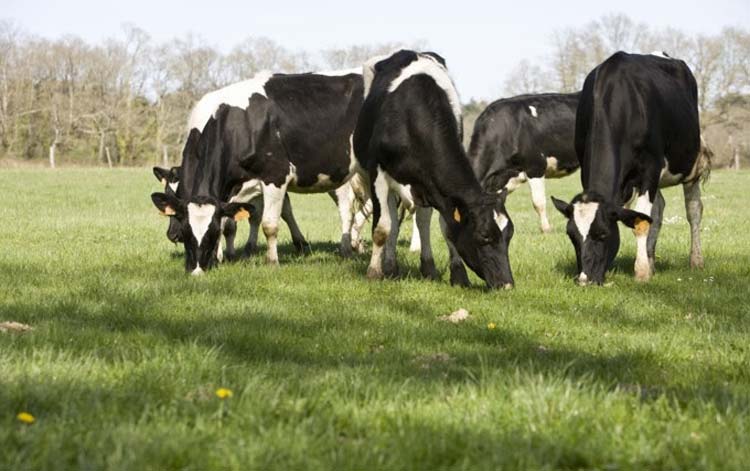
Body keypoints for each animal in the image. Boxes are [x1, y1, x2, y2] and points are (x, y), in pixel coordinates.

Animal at [151, 69, 365, 274]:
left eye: (212, 233)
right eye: (187, 232)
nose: (196, 270)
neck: (238, 125)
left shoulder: (276, 175)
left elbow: (269, 223)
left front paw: (272, 261)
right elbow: (236, 220)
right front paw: (226, 256)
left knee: (347, 208)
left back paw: (347, 249)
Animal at [353, 50, 514, 289]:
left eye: (509, 234)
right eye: (484, 236)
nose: (507, 285)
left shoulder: (437, 189)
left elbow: (447, 226)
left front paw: (458, 275)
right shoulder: (378, 173)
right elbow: (382, 228)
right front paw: (374, 272)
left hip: (422, 186)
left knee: (421, 220)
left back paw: (426, 267)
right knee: (391, 219)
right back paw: (389, 266)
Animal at [551, 51, 709, 285]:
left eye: (603, 234)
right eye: (571, 235)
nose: (584, 279)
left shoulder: (650, 169)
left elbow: (641, 222)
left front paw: (641, 272)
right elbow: (644, 217)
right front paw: (645, 266)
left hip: (689, 165)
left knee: (693, 210)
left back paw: (696, 261)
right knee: (658, 211)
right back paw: (652, 261)